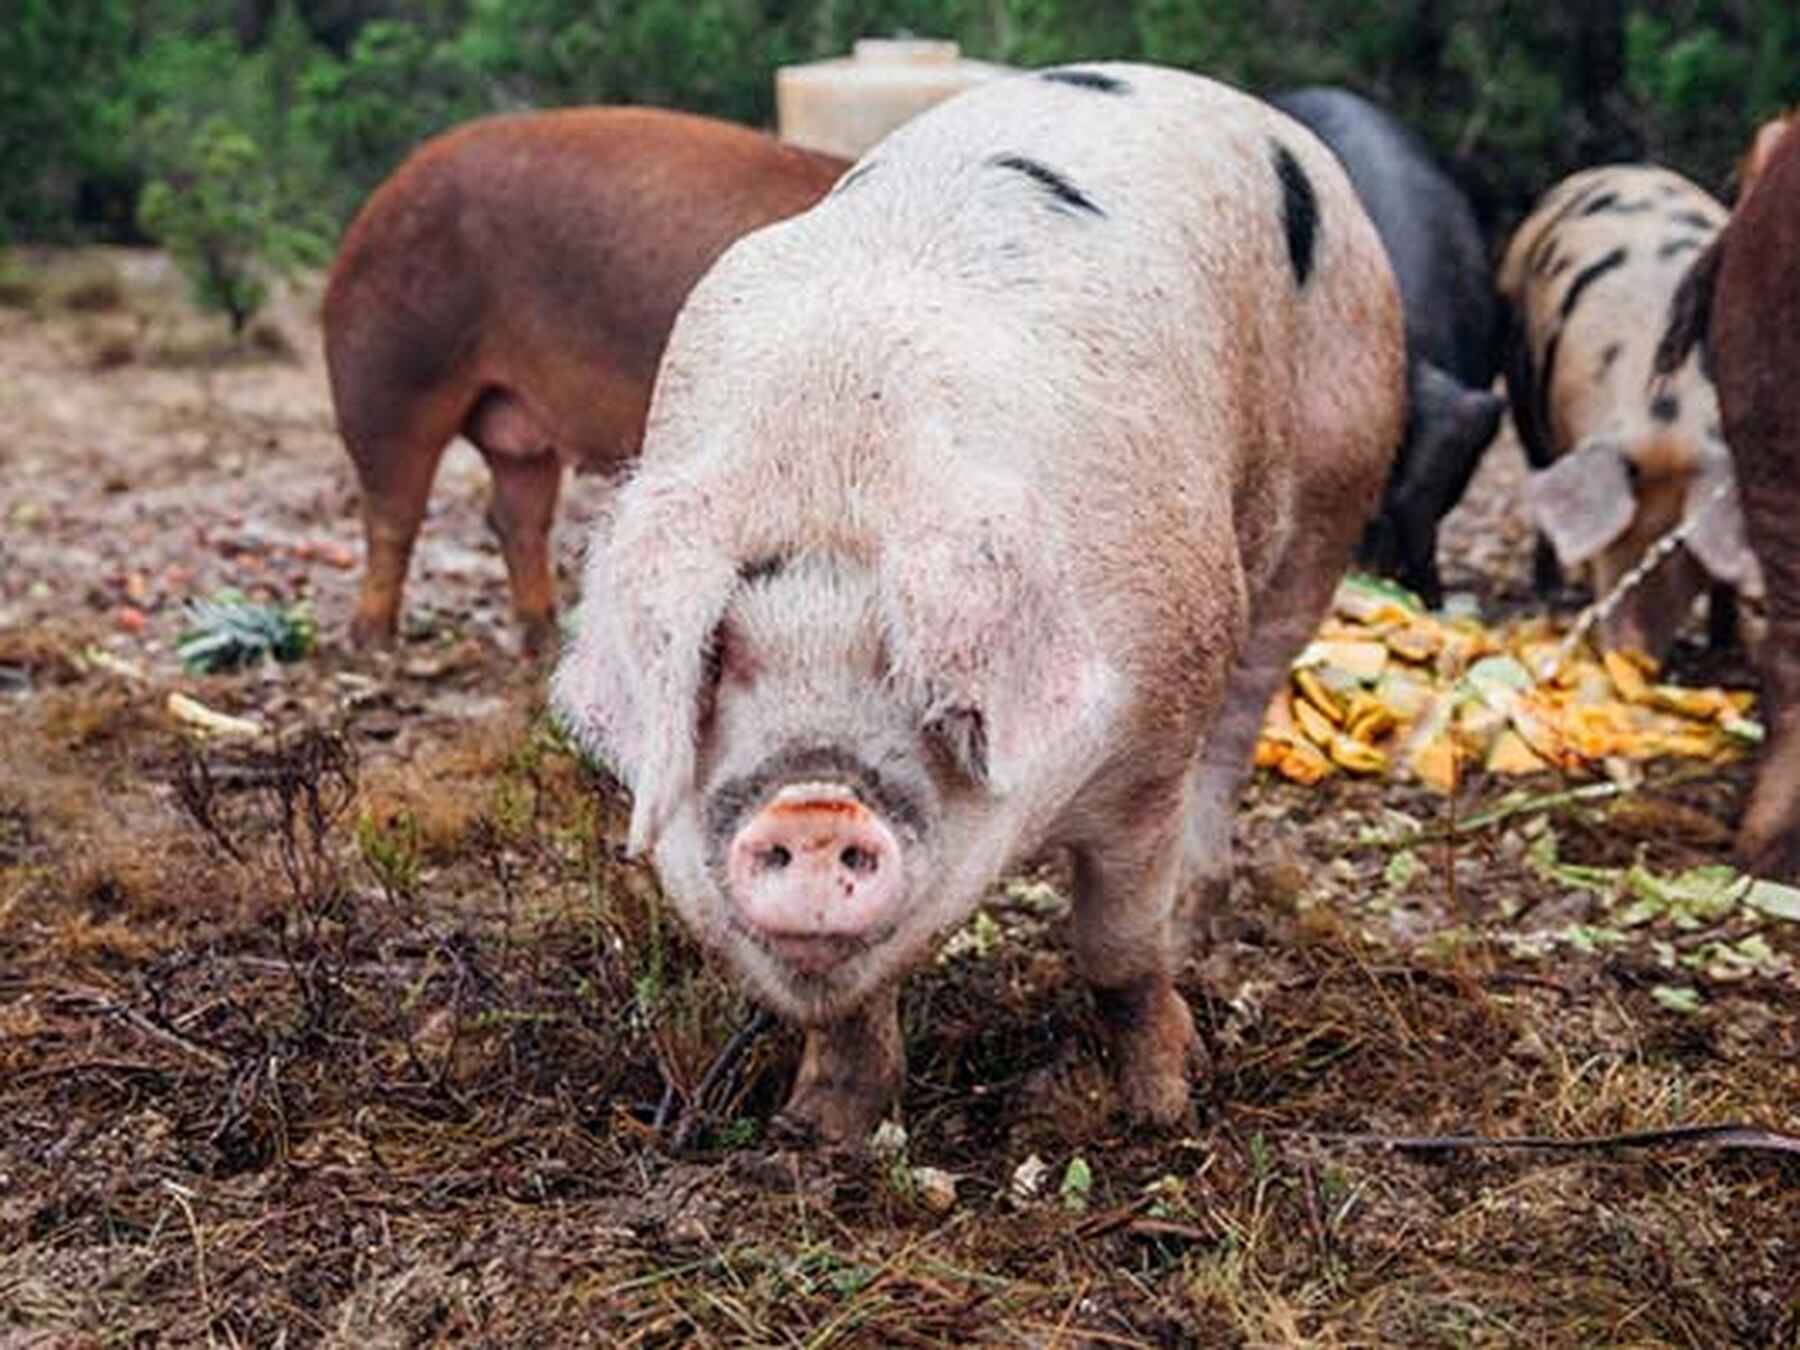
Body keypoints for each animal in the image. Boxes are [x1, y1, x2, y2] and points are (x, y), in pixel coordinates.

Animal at [322, 108, 846, 657]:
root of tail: (385, 192)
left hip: (513, 427)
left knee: (515, 515)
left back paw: (544, 639)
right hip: (387, 373)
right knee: (392, 513)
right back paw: (374, 642)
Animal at [553, 64, 1406, 1142]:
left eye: (913, 667)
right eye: (725, 657)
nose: (814, 802)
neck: (833, 474)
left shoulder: (1151, 742)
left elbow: (1119, 949)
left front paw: (1164, 1105)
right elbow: (849, 1013)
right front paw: (817, 1133)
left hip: (1335, 485)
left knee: (1242, 717)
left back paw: (1199, 932)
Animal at [1497, 165, 1758, 660]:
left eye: (1682, 548)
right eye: (1618, 533)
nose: (1629, 651)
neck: (1665, 416)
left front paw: (1723, 644)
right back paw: (1549, 589)